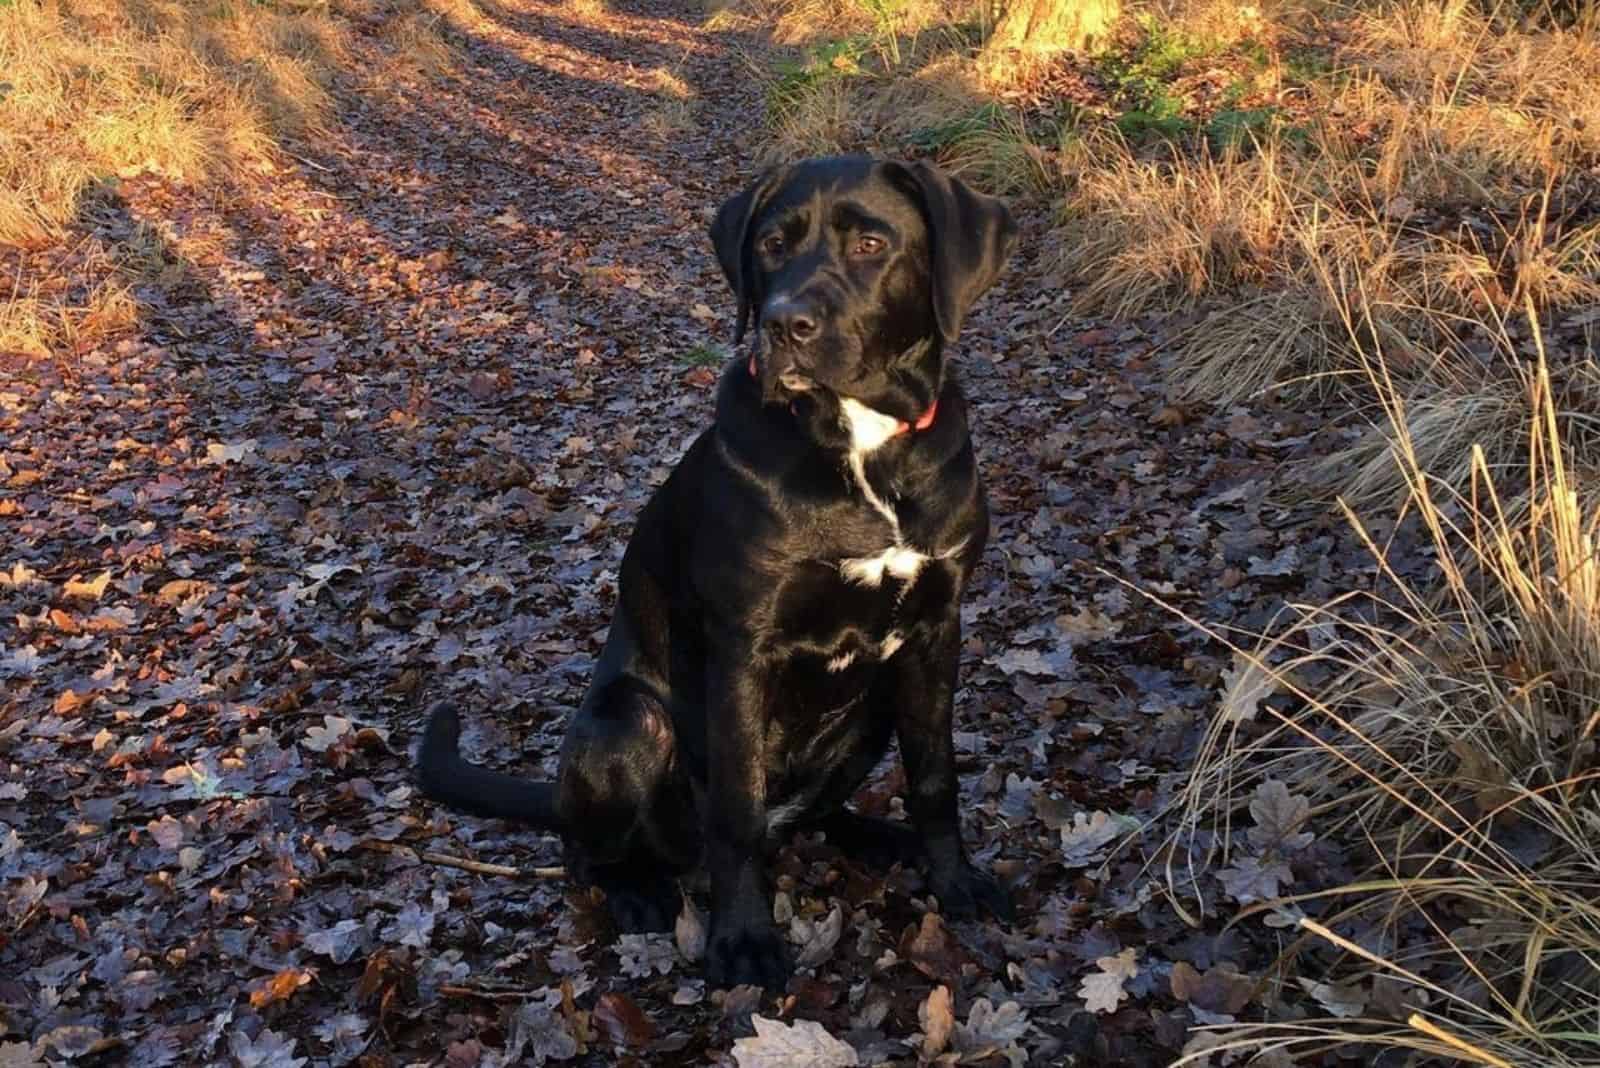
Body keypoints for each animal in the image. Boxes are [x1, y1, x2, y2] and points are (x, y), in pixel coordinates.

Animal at [419, 154, 1017, 991]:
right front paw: (744, 940)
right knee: (590, 851)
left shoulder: (936, 631)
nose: (785, 323)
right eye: (771, 244)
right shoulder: (743, 648)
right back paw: (635, 894)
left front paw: (954, 880)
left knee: (812, 817)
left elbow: (936, 778)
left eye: (871, 243)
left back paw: (877, 837)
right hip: (629, 723)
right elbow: (735, 812)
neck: (861, 444)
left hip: (873, 710)